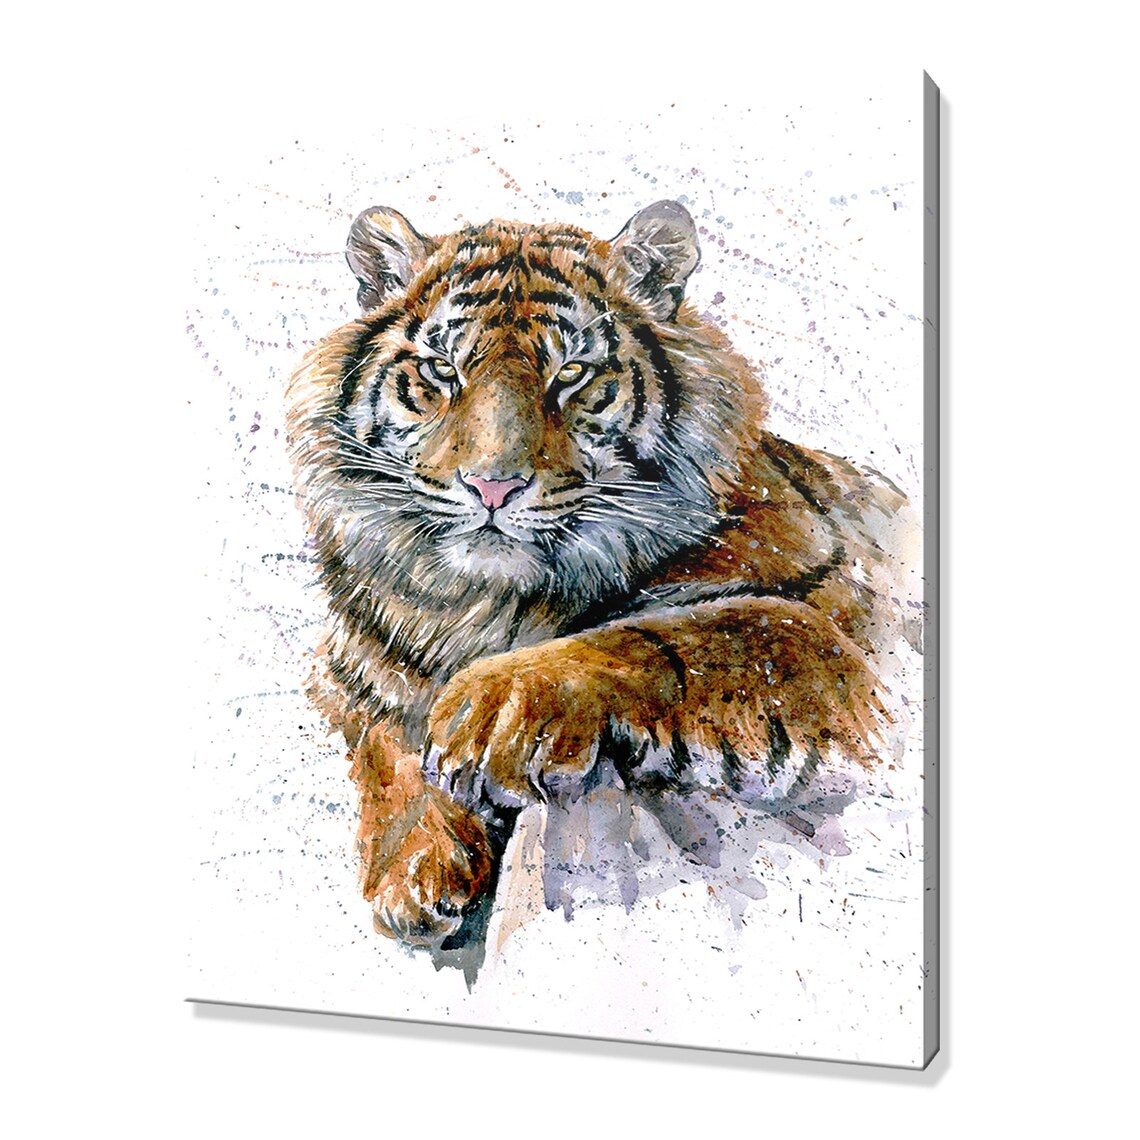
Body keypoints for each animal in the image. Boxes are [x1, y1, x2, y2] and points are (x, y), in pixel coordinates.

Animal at [285, 200, 919, 955]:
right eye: (442, 370)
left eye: (572, 374)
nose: (492, 487)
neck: (486, 604)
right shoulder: (353, 669)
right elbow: (384, 741)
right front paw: (415, 870)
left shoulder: (828, 626)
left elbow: (668, 635)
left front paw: (490, 710)